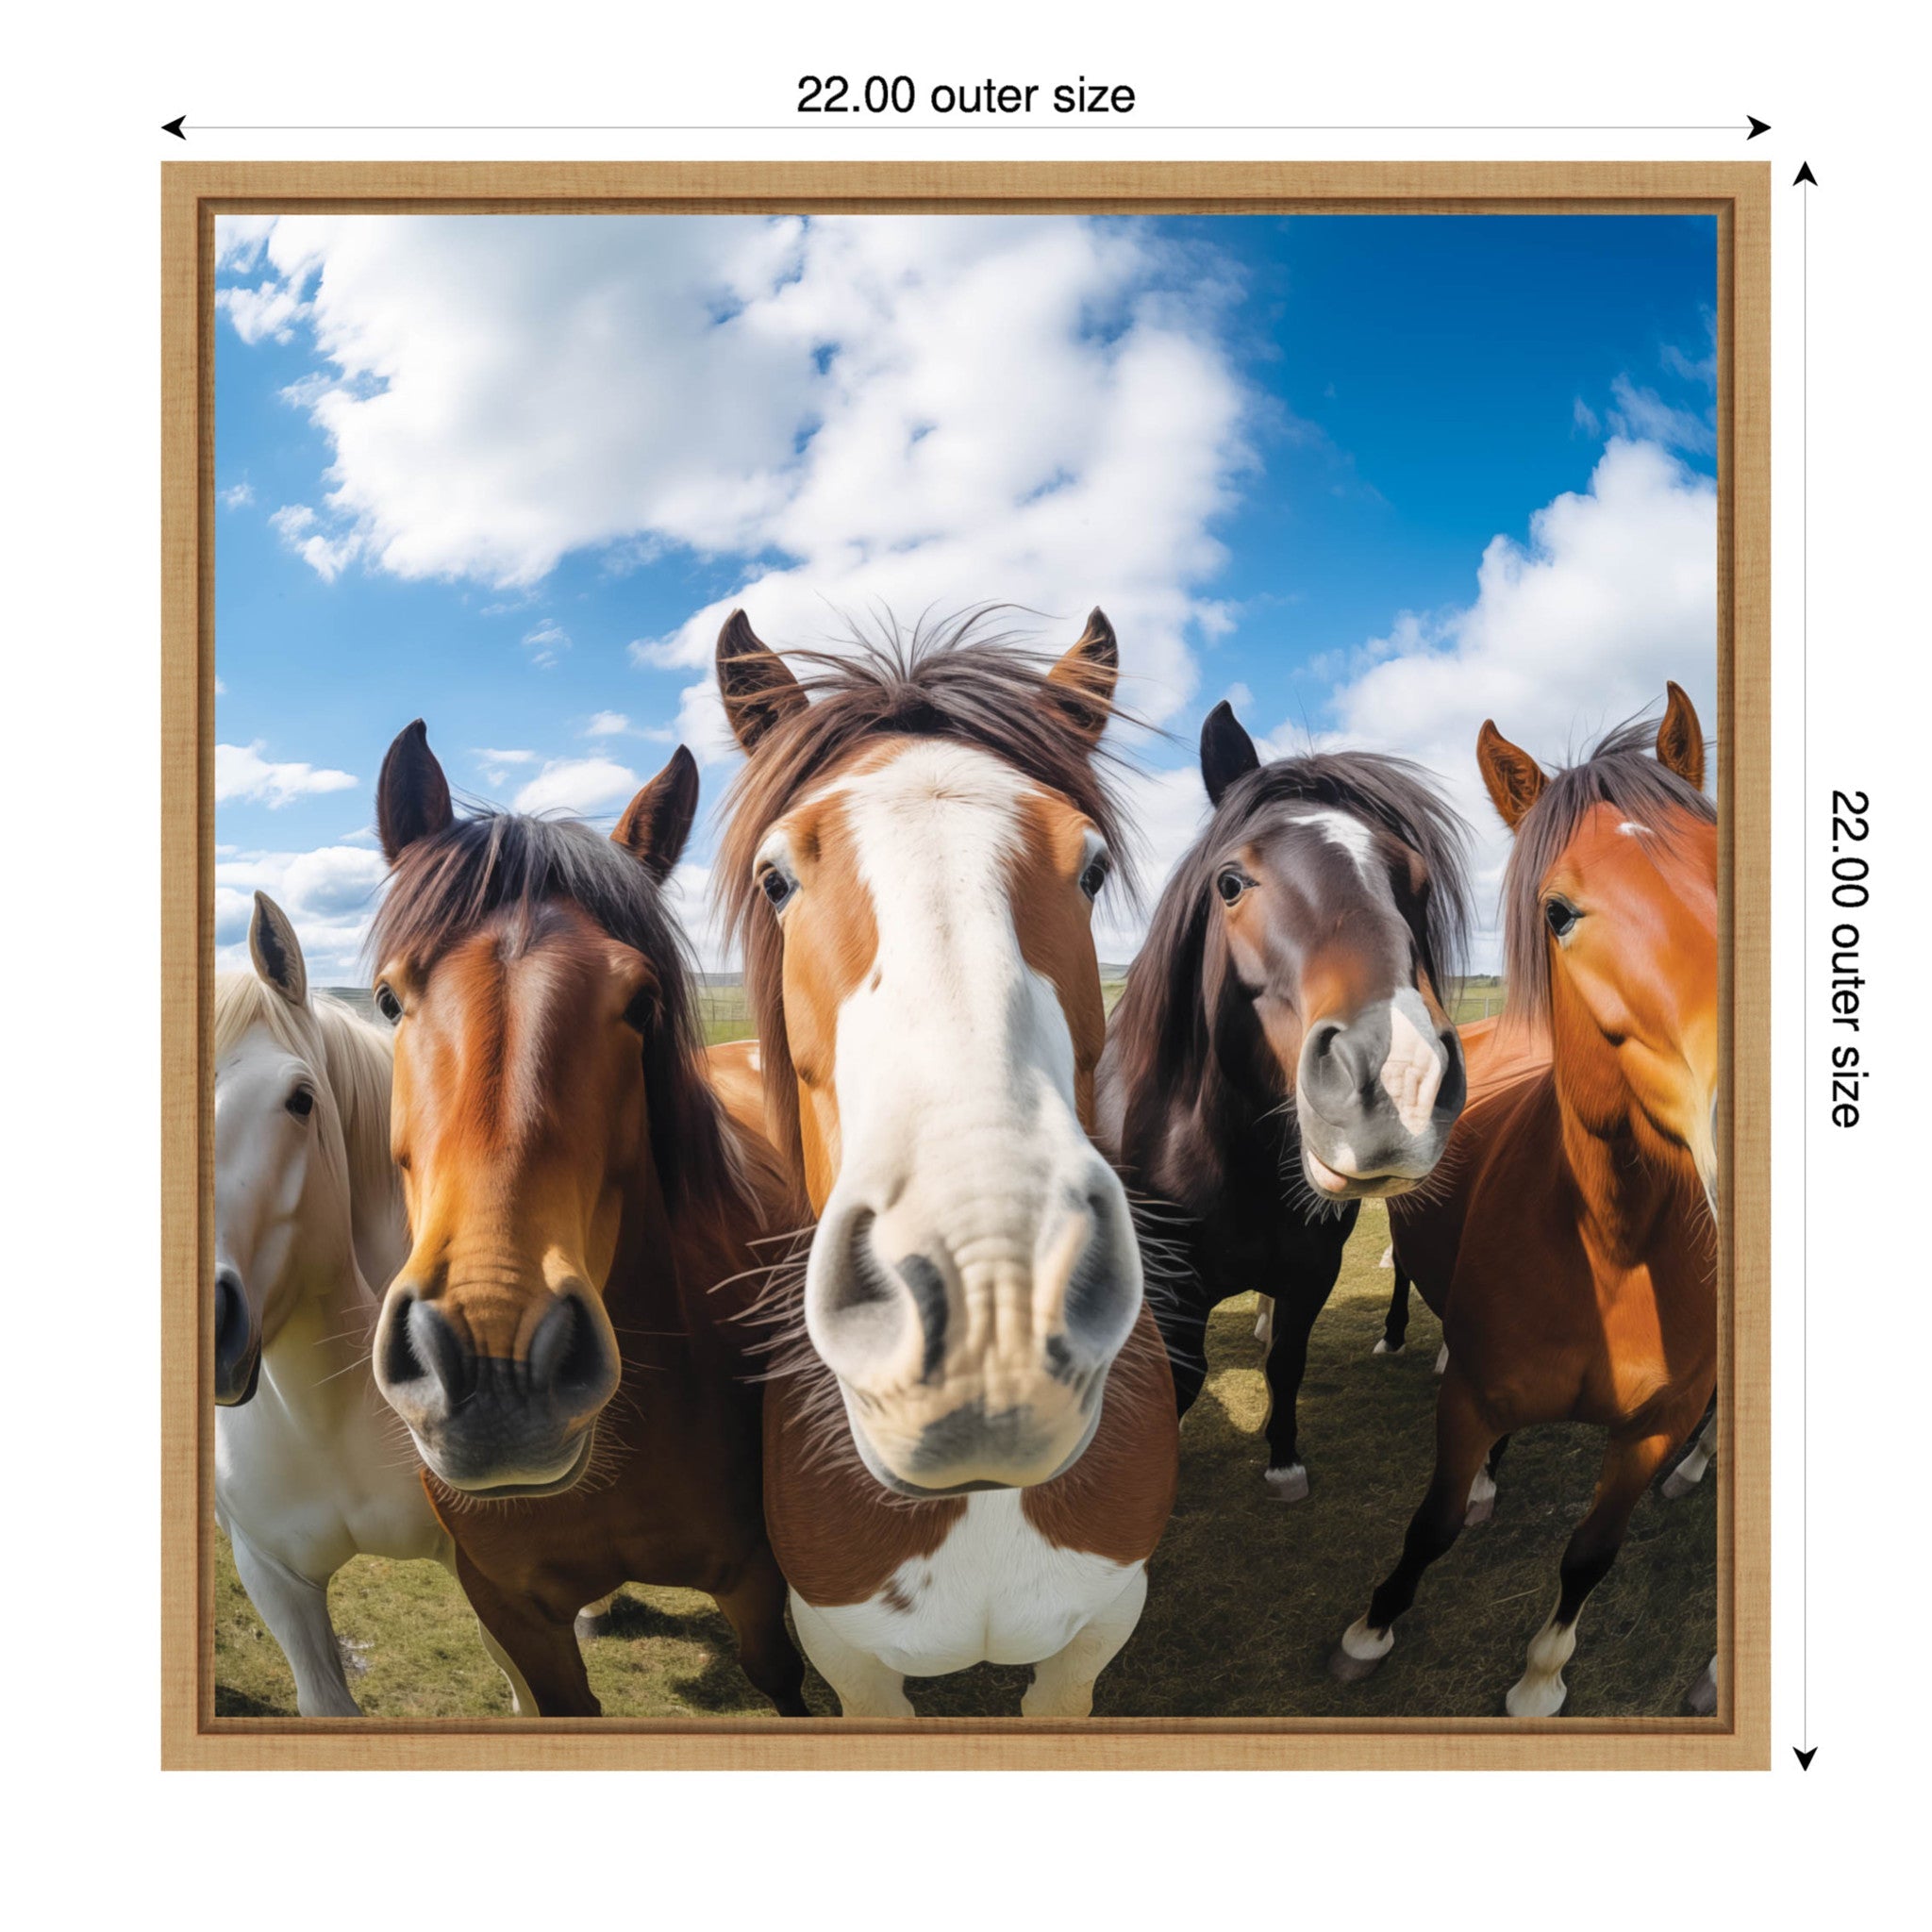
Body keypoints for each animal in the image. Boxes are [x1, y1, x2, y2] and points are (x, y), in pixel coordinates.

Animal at [365, 727, 808, 1716]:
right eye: (386, 999)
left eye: (642, 1004)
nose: (495, 1370)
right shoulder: (511, 1612)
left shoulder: (758, 1580)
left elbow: (782, 1679)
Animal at [1098, 699, 1473, 1499]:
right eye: (1230, 883)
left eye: (1418, 882)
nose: (1398, 1078)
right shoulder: (1170, 1292)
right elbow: (1183, 1382)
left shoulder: (1312, 1268)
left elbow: (1287, 1361)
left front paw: (1283, 1460)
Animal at [1330, 686, 1718, 1716]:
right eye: (1557, 910)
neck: (1614, 1244)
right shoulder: (1467, 1397)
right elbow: (1428, 1523)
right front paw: (1369, 1626)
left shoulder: (1652, 1428)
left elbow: (1590, 1554)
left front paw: (1542, 1676)